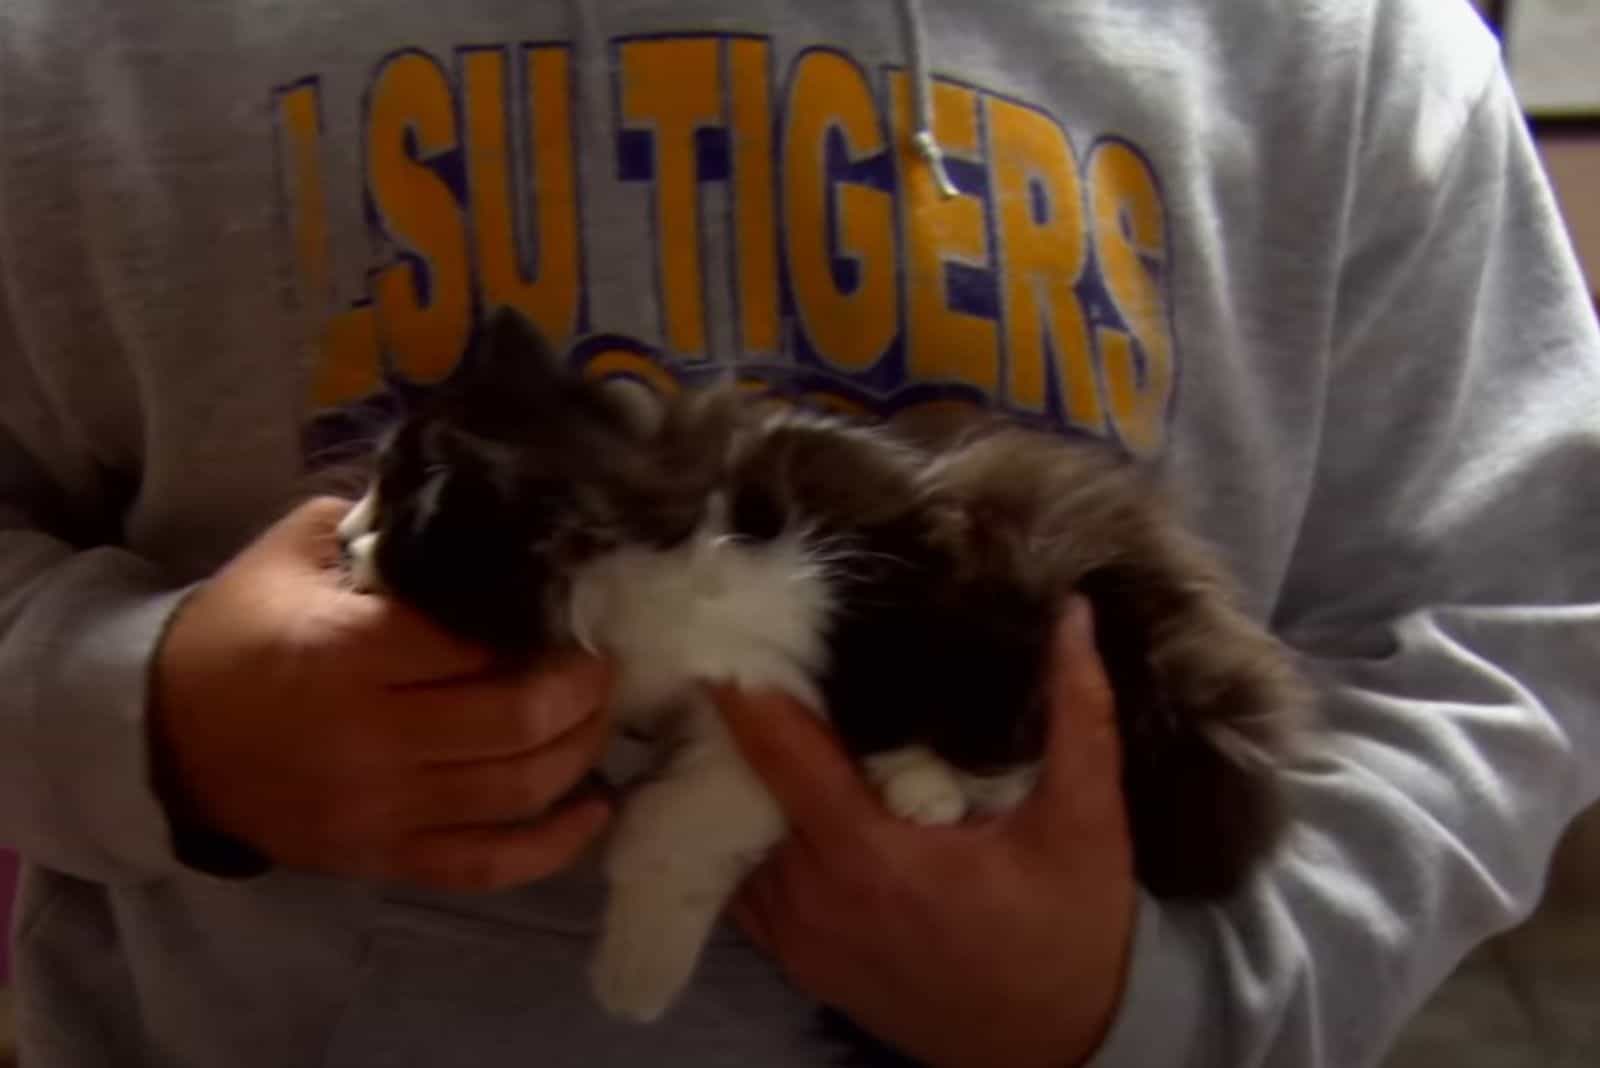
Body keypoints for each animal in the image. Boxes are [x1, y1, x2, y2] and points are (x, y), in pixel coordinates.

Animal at [337, 306, 1312, 1016]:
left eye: (391, 504)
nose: (342, 537)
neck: (636, 519)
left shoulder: (815, 655)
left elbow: (675, 828)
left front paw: (632, 983)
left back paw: (934, 786)